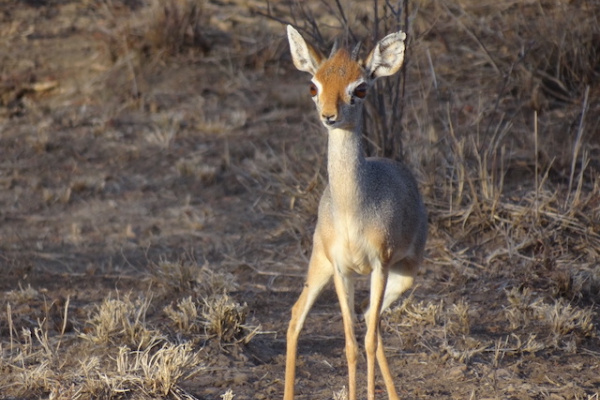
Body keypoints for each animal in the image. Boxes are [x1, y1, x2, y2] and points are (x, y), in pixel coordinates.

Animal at [284, 25, 428, 400]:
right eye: (313, 85)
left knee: (369, 323)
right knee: (298, 316)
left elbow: (368, 342)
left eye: (360, 88)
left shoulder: (378, 266)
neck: (352, 210)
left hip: (404, 275)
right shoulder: (341, 269)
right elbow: (349, 345)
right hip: (319, 265)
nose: (329, 116)